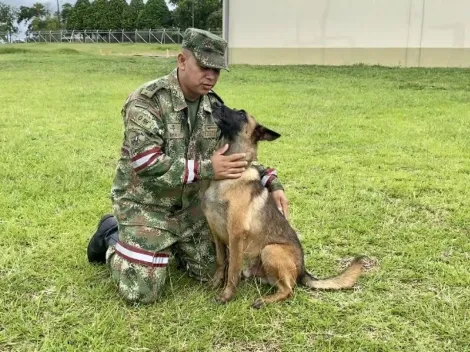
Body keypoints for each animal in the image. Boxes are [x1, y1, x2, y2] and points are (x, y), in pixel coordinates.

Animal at [200, 104, 366, 308]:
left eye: (241, 114)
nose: (215, 104)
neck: (228, 178)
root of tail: (303, 269)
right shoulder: (216, 233)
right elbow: (221, 261)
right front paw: (215, 283)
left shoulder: (236, 235)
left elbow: (232, 270)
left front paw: (226, 296)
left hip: (270, 250)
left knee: (289, 290)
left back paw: (264, 301)